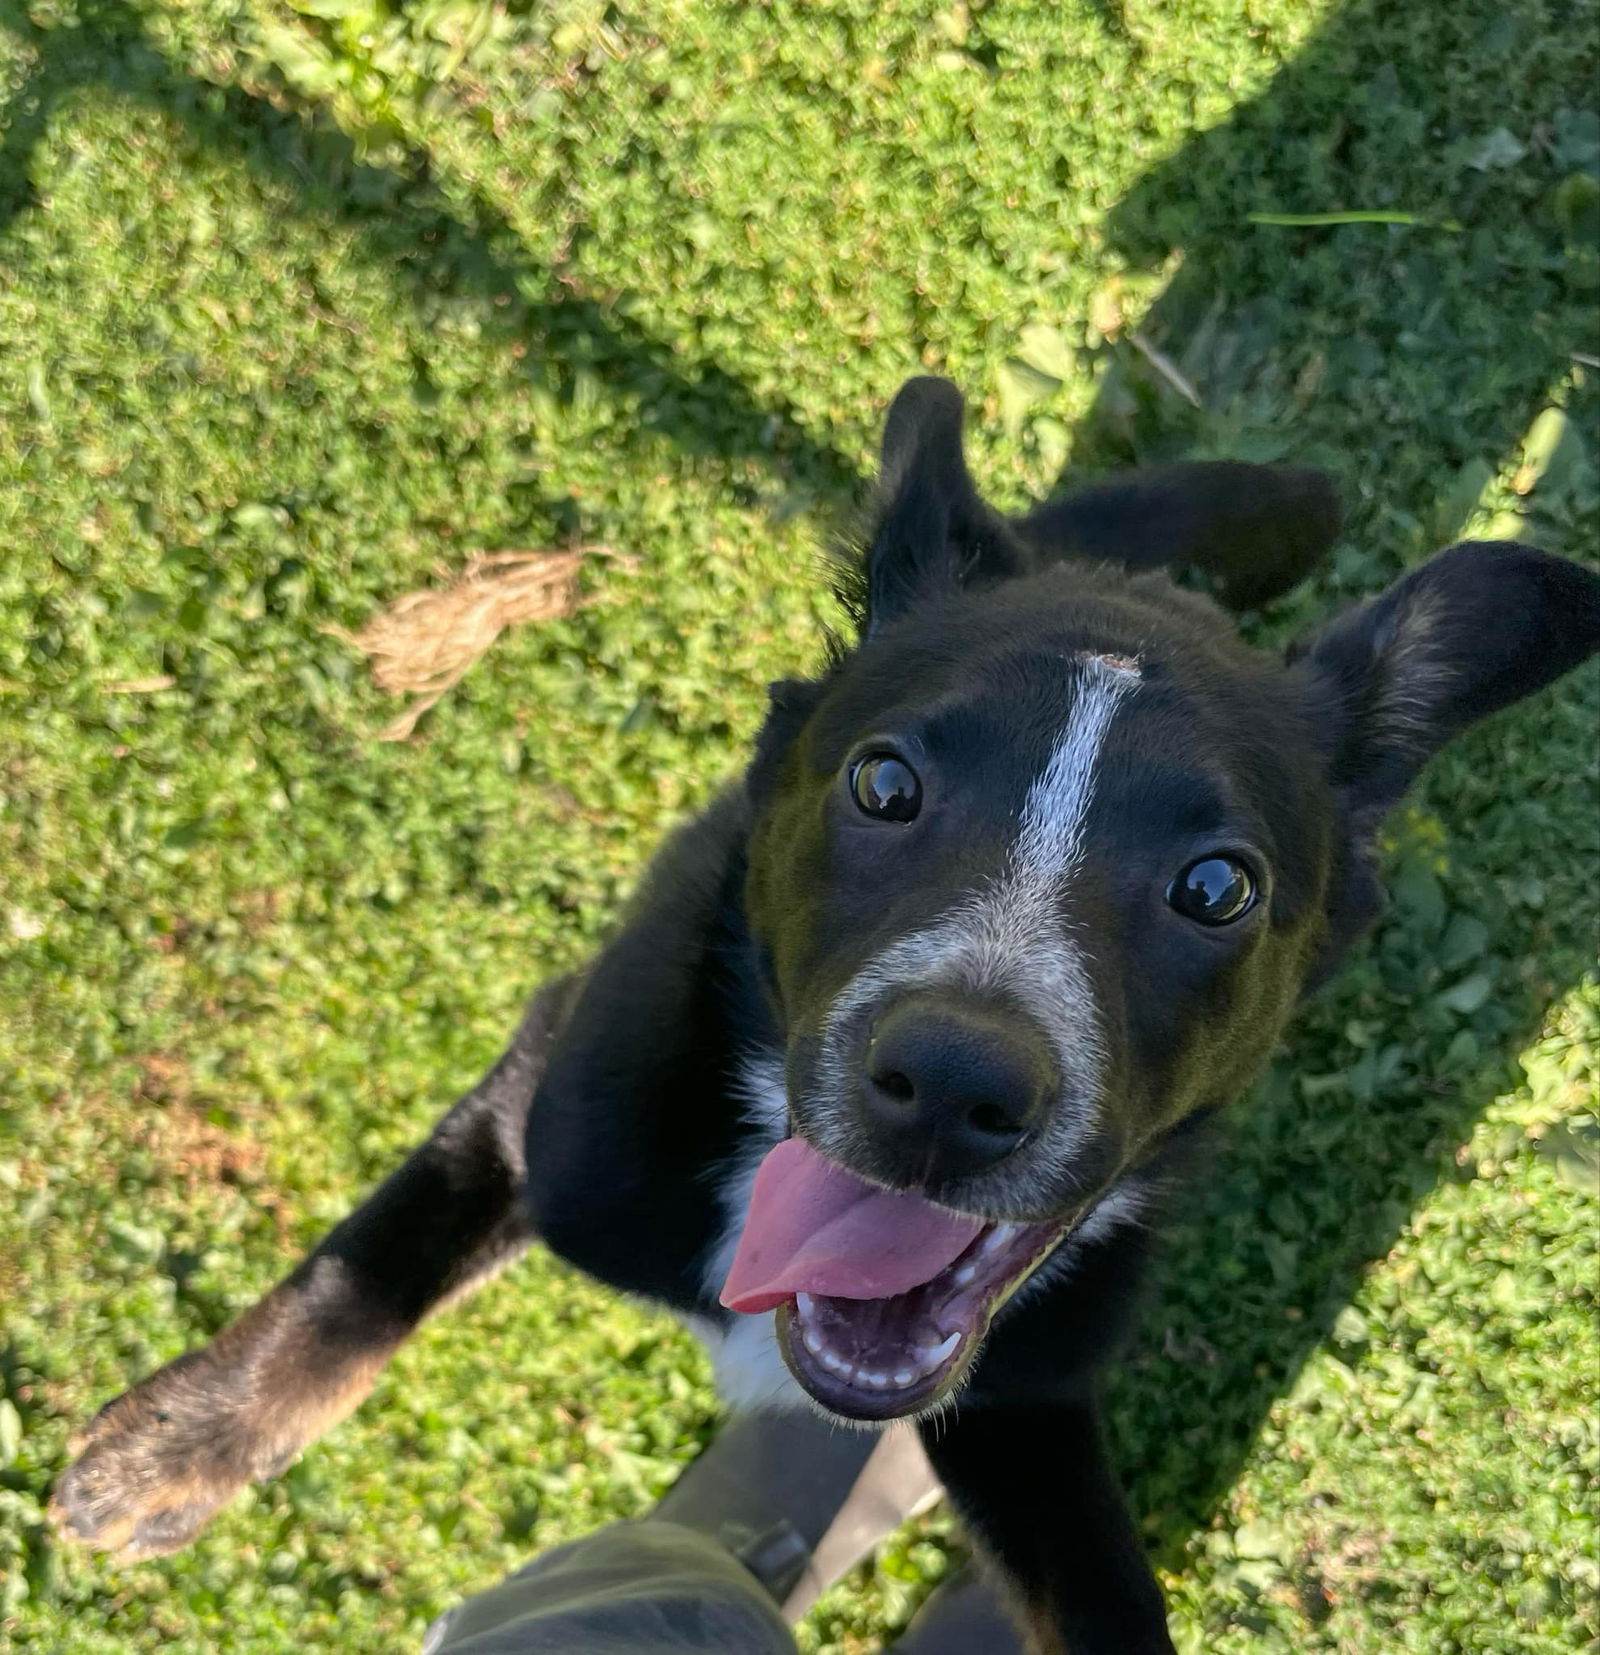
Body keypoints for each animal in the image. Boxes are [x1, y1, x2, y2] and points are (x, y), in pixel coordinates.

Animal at [53, 375, 1600, 1655]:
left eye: (1217, 885)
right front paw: (181, 1441)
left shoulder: (1021, 1404)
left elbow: (1109, 1598)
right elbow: (370, 1264)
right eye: (883, 782)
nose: (954, 1085)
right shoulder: (546, 1099)